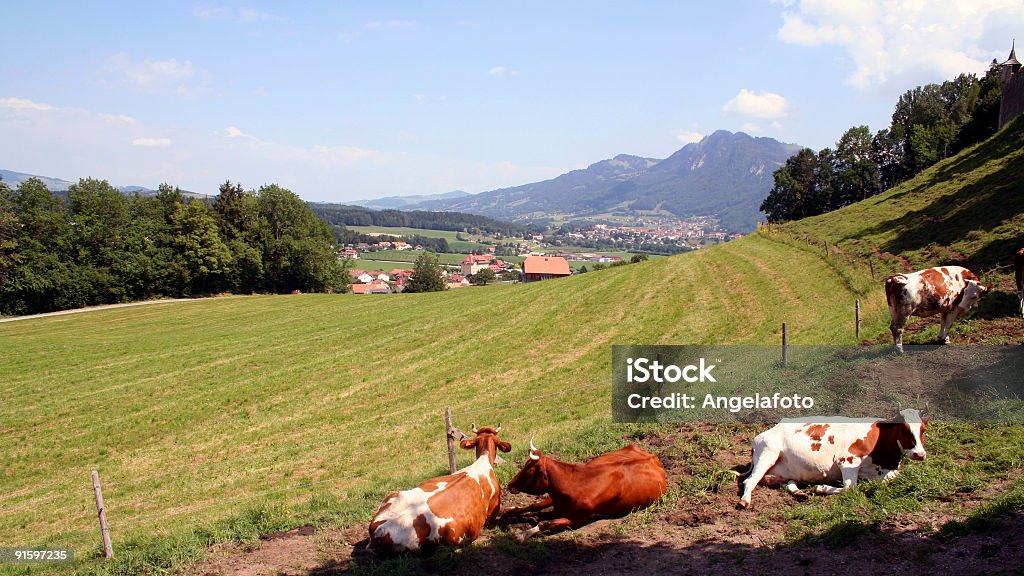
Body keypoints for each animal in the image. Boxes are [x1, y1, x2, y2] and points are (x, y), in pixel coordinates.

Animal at [501, 438, 663, 537]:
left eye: (528, 471)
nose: (509, 485)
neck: (576, 484)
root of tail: (652, 456)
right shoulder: (556, 503)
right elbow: (535, 506)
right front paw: (508, 511)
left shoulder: (576, 519)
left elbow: (544, 522)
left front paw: (521, 535)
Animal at [737, 407, 929, 506]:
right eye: (904, 428)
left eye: (923, 429)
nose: (920, 454)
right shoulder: (847, 461)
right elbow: (850, 488)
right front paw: (821, 488)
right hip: (768, 454)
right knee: (750, 480)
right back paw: (745, 500)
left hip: (786, 471)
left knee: (787, 482)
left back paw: (800, 493)